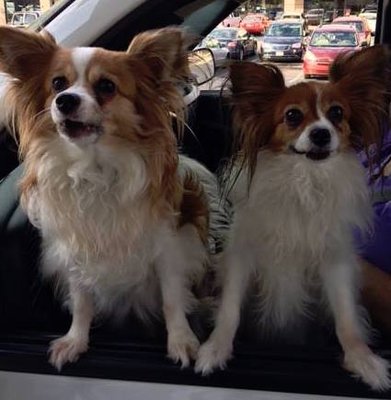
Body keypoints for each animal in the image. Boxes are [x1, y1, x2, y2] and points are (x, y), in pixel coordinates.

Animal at [0, 26, 228, 372]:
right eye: (57, 84)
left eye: (106, 86)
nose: (64, 100)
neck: (94, 167)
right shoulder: (74, 247)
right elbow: (81, 300)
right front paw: (76, 340)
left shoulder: (170, 245)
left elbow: (172, 297)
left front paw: (181, 340)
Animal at [198, 45, 391, 390]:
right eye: (292, 116)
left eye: (337, 113)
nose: (321, 134)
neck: (304, 180)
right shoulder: (242, 256)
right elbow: (230, 308)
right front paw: (215, 348)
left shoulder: (334, 261)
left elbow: (345, 316)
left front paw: (363, 359)